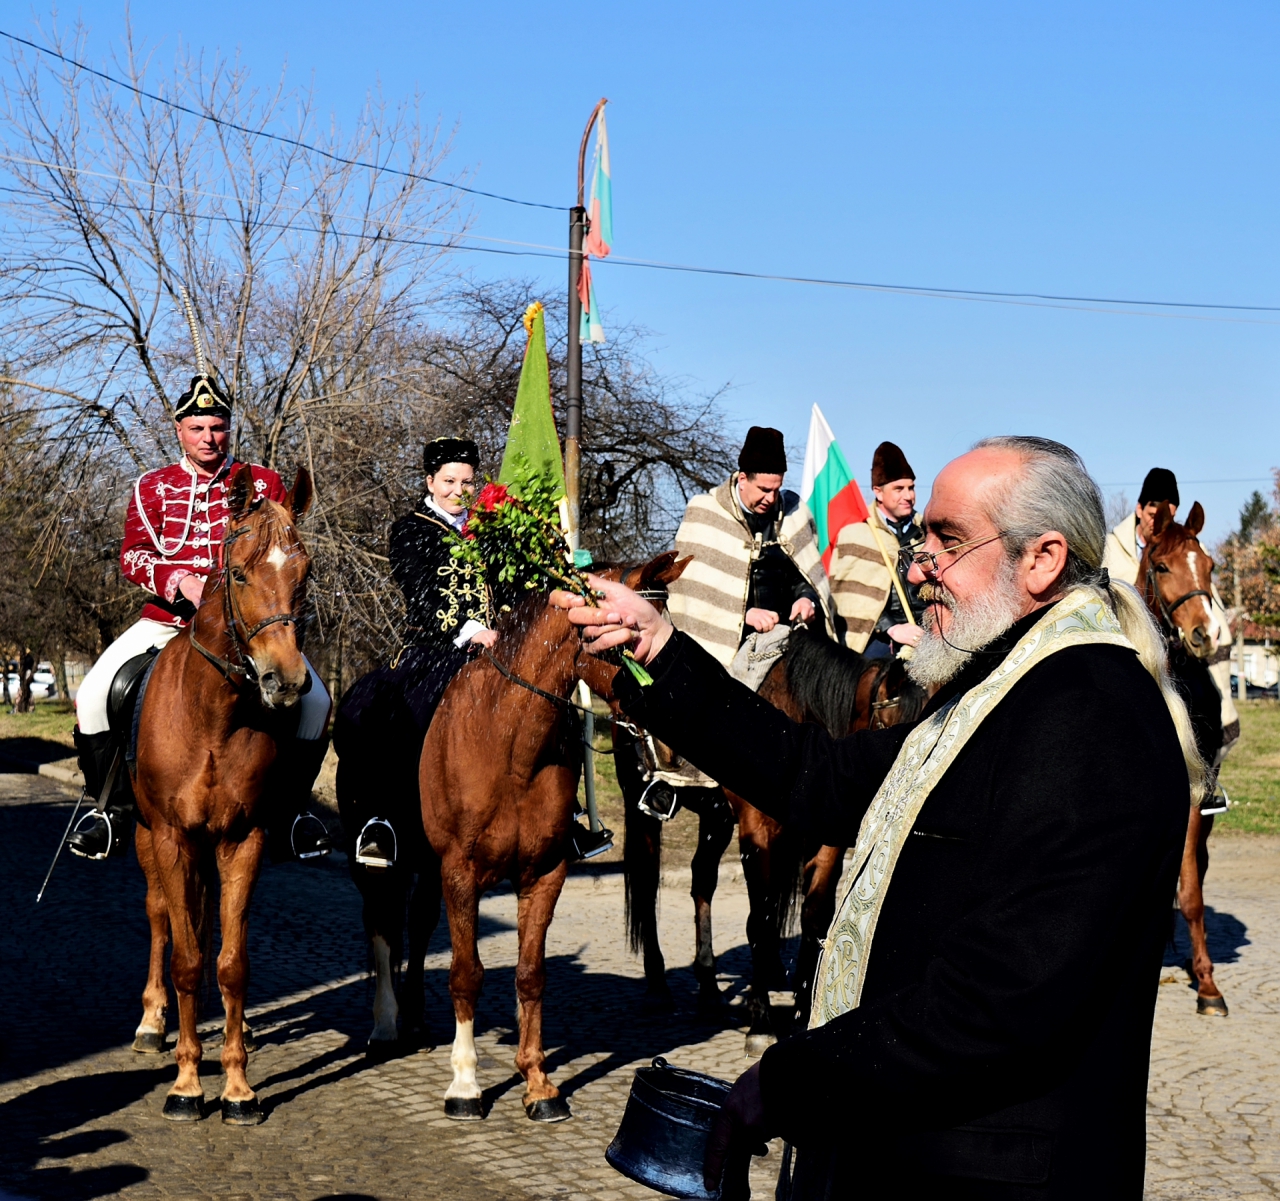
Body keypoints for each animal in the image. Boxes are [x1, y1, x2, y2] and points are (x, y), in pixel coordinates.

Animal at [131, 463, 320, 1116]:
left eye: (305, 573)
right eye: (238, 572)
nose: (284, 682)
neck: (213, 716)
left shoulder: (243, 839)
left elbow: (231, 961)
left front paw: (237, 1086)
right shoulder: (173, 837)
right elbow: (187, 958)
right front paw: (187, 1085)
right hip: (147, 837)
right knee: (160, 915)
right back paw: (153, 1022)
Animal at [412, 548, 691, 1116]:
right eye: (631, 637)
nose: (672, 749)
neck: (510, 746)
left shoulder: (545, 873)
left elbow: (530, 973)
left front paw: (537, 1081)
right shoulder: (458, 872)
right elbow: (466, 971)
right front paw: (465, 1083)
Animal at [616, 622, 926, 1055]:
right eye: (889, 726)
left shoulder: (824, 843)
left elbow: (814, 917)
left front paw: (800, 1014)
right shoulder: (756, 833)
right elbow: (759, 921)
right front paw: (760, 1022)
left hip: (716, 819)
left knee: (702, 881)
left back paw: (709, 990)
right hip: (640, 803)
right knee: (647, 883)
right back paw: (658, 987)